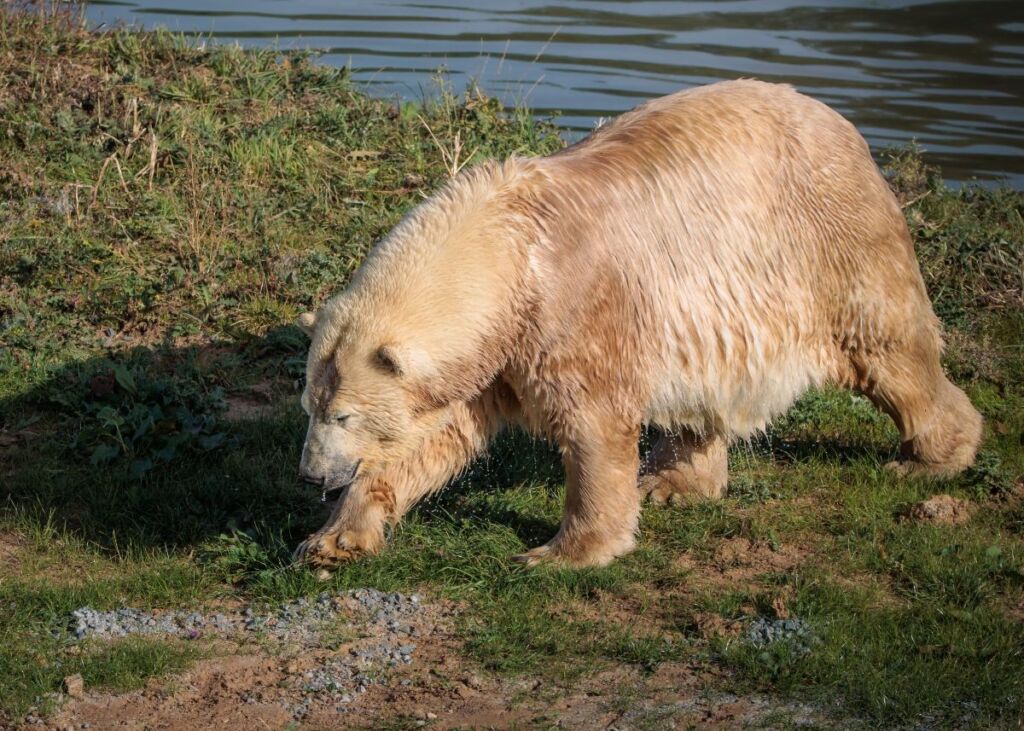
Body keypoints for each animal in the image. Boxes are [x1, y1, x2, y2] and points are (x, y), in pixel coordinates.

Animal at [293, 79, 982, 568]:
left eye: (343, 416)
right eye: (310, 406)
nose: (312, 475)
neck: (507, 249)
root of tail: (842, 125)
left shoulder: (569, 310)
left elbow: (593, 423)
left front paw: (561, 552)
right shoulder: (493, 355)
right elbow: (433, 438)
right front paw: (333, 540)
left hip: (832, 237)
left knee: (886, 347)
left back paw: (930, 458)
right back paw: (673, 482)